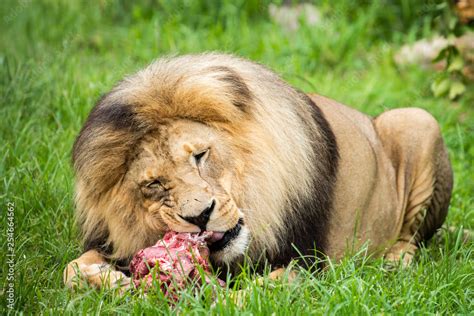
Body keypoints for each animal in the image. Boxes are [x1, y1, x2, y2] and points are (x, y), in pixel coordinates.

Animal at [63, 53, 452, 290]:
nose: (200, 216)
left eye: (200, 156)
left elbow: (254, 294)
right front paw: (110, 280)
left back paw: (394, 263)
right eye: (155, 184)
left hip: (419, 120)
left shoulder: (308, 264)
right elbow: (70, 269)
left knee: (411, 239)